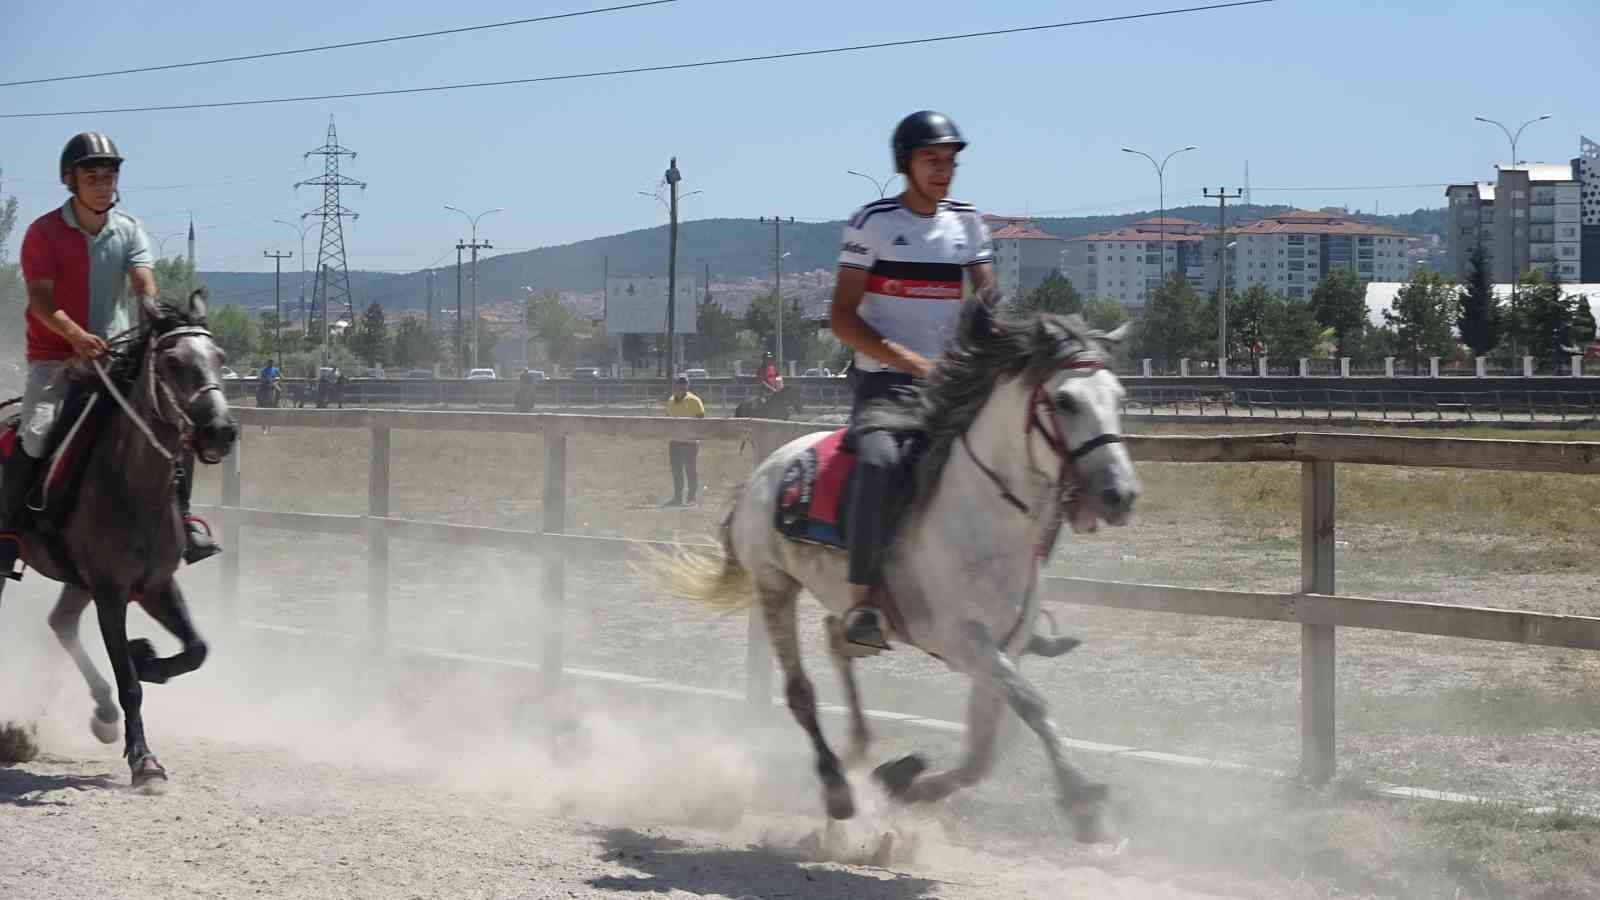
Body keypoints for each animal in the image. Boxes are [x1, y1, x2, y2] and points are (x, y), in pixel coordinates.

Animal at [1, 293, 236, 784]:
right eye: (173, 362)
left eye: (219, 357)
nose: (221, 432)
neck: (132, 484)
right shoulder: (111, 592)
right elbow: (129, 683)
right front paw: (144, 761)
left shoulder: (156, 584)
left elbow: (195, 650)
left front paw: (146, 660)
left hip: (78, 580)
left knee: (61, 623)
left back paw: (104, 714)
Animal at [656, 302, 1145, 839]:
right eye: (1065, 400)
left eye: (1118, 397)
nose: (1120, 494)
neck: (982, 515)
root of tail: (768, 470)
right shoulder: (965, 641)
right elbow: (1032, 705)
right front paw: (1084, 803)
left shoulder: (1004, 645)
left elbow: (984, 751)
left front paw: (905, 780)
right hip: (773, 584)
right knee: (800, 691)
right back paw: (836, 785)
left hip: (842, 599)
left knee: (837, 639)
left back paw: (860, 746)